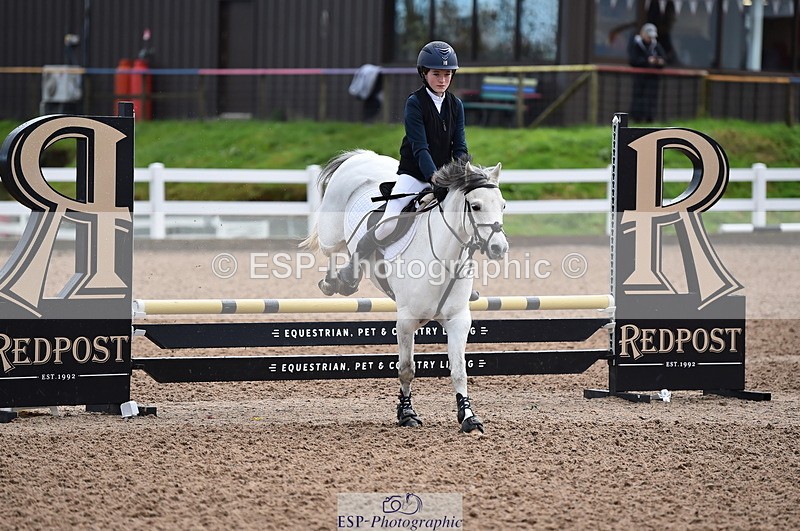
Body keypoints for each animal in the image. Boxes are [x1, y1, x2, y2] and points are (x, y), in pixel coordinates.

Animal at [300, 150, 508, 433]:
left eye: (503, 206)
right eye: (475, 206)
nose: (499, 248)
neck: (443, 257)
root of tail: (362, 156)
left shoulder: (458, 320)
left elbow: (459, 371)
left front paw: (468, 417)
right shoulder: (406, 321)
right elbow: (407, 369)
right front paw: (407, 413)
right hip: (330, 232)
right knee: (334, 249)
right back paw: (339, 281)